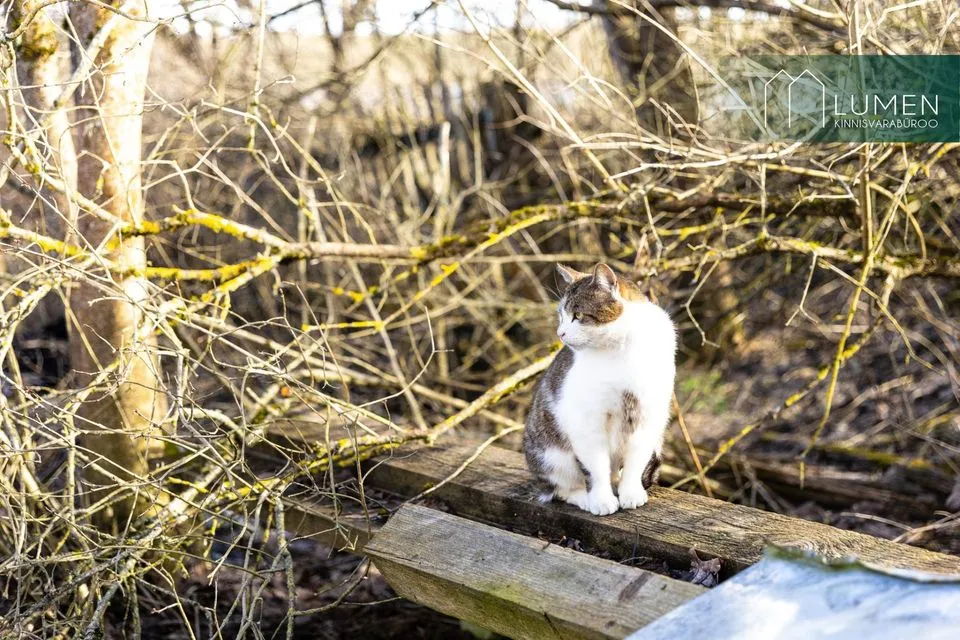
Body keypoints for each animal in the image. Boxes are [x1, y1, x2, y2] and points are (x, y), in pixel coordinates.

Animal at [523, 263, 677, 515]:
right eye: (561, 316)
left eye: (578, 316)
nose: (560, 333)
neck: (624, 351)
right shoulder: (587, 421)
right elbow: (595, 467)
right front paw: (602, 500)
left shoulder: (645, 414)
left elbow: (636, 459)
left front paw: (631, 493)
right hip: (551, 456)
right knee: (559, 488)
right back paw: (584, 497)